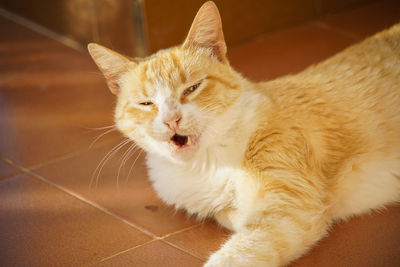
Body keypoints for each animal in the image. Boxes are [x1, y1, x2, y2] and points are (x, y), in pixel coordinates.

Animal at [88, 2, 400, 267]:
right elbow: (232, 217)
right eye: (146, 103)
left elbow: (239, 254)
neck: (207, 164)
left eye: (192, 88)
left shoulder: (287, 210)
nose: (171, 120)